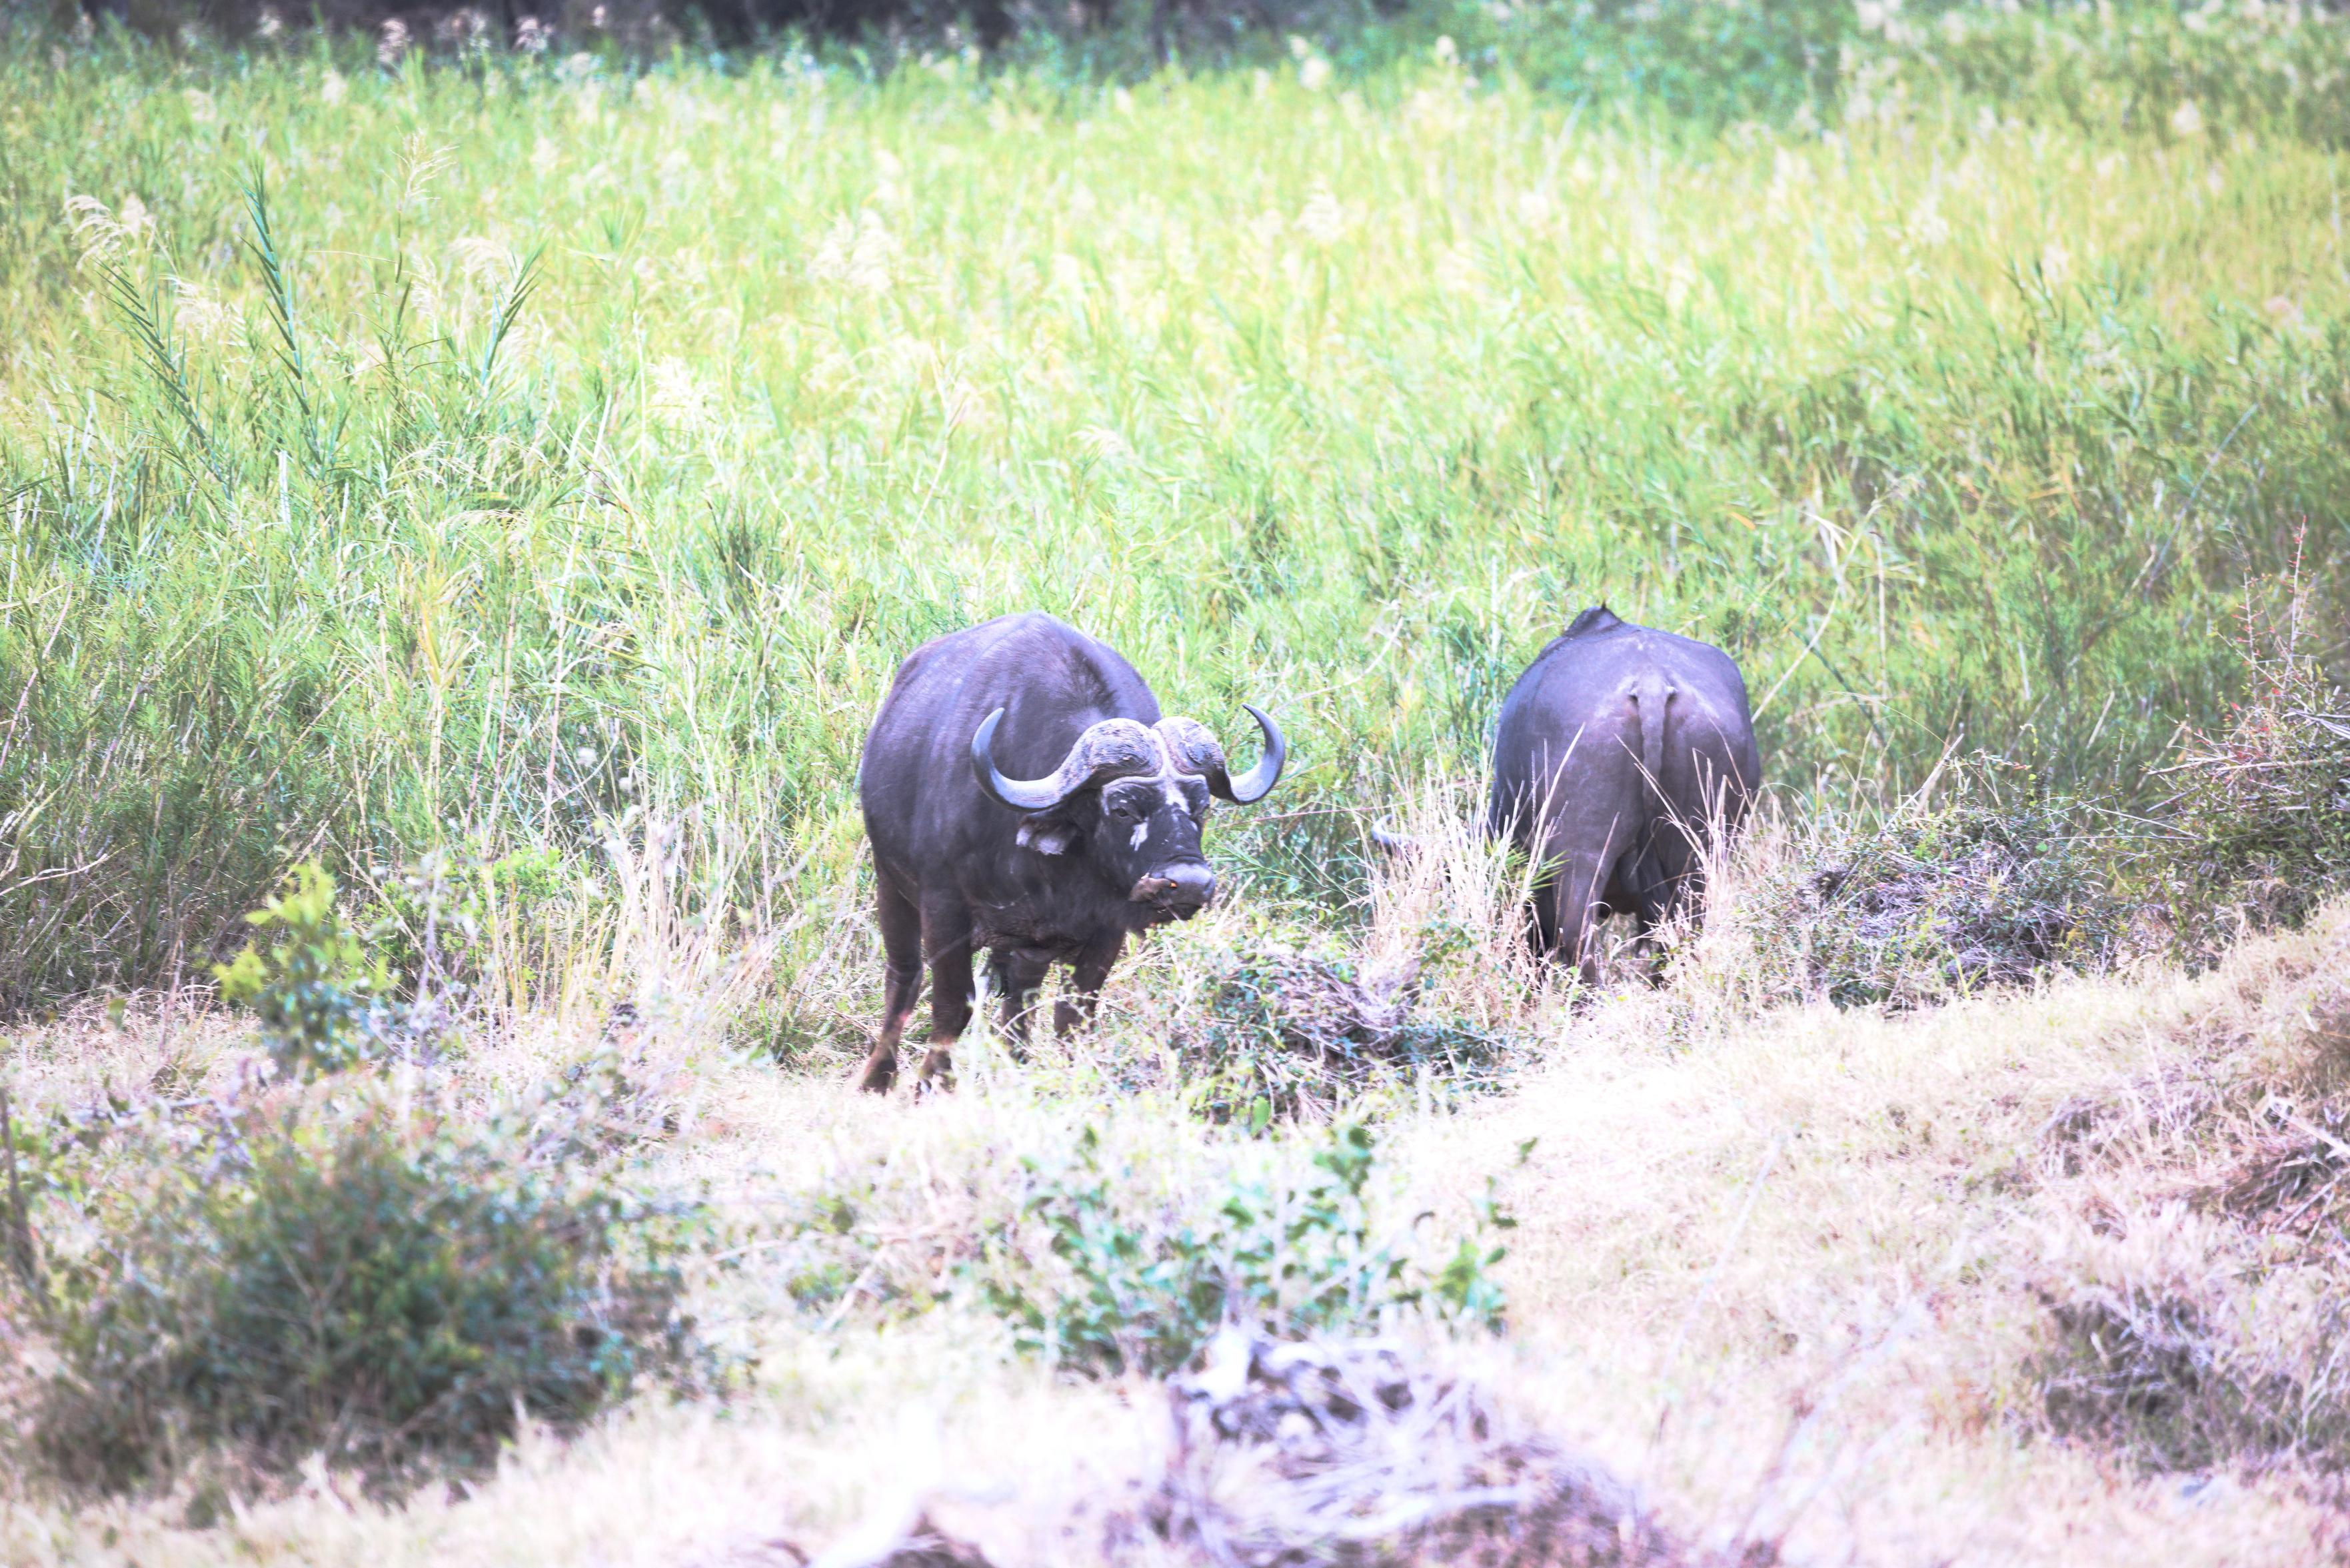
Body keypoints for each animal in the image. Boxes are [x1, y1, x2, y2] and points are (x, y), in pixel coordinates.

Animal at [854, 612, 1286, 1092]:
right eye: (1121, 808)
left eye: (1202, 807)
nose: (1188, 883)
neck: (1046, 872)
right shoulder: (944, 909)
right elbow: (953, 1004)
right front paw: (932, 1085)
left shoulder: (1106, 930)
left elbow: (1073, 1016)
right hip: (890, 883)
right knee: (904, 977)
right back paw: (878, 1078)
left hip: (1029, 944)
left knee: (1020, 999)